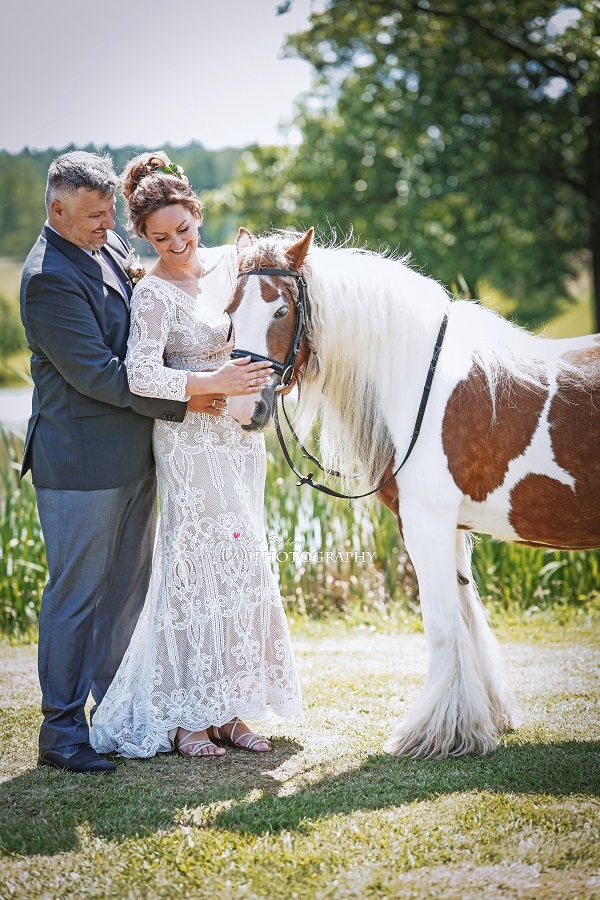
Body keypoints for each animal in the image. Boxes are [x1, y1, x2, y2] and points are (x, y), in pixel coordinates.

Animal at [225, 226, 600, 759]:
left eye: (280, 311)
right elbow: (466, 618)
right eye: (229, 311)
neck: (419, 382)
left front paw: (435, 733)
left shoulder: (427, 525)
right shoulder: (451, 529)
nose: (242, 407)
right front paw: (481, 719)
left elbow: (442, 625)